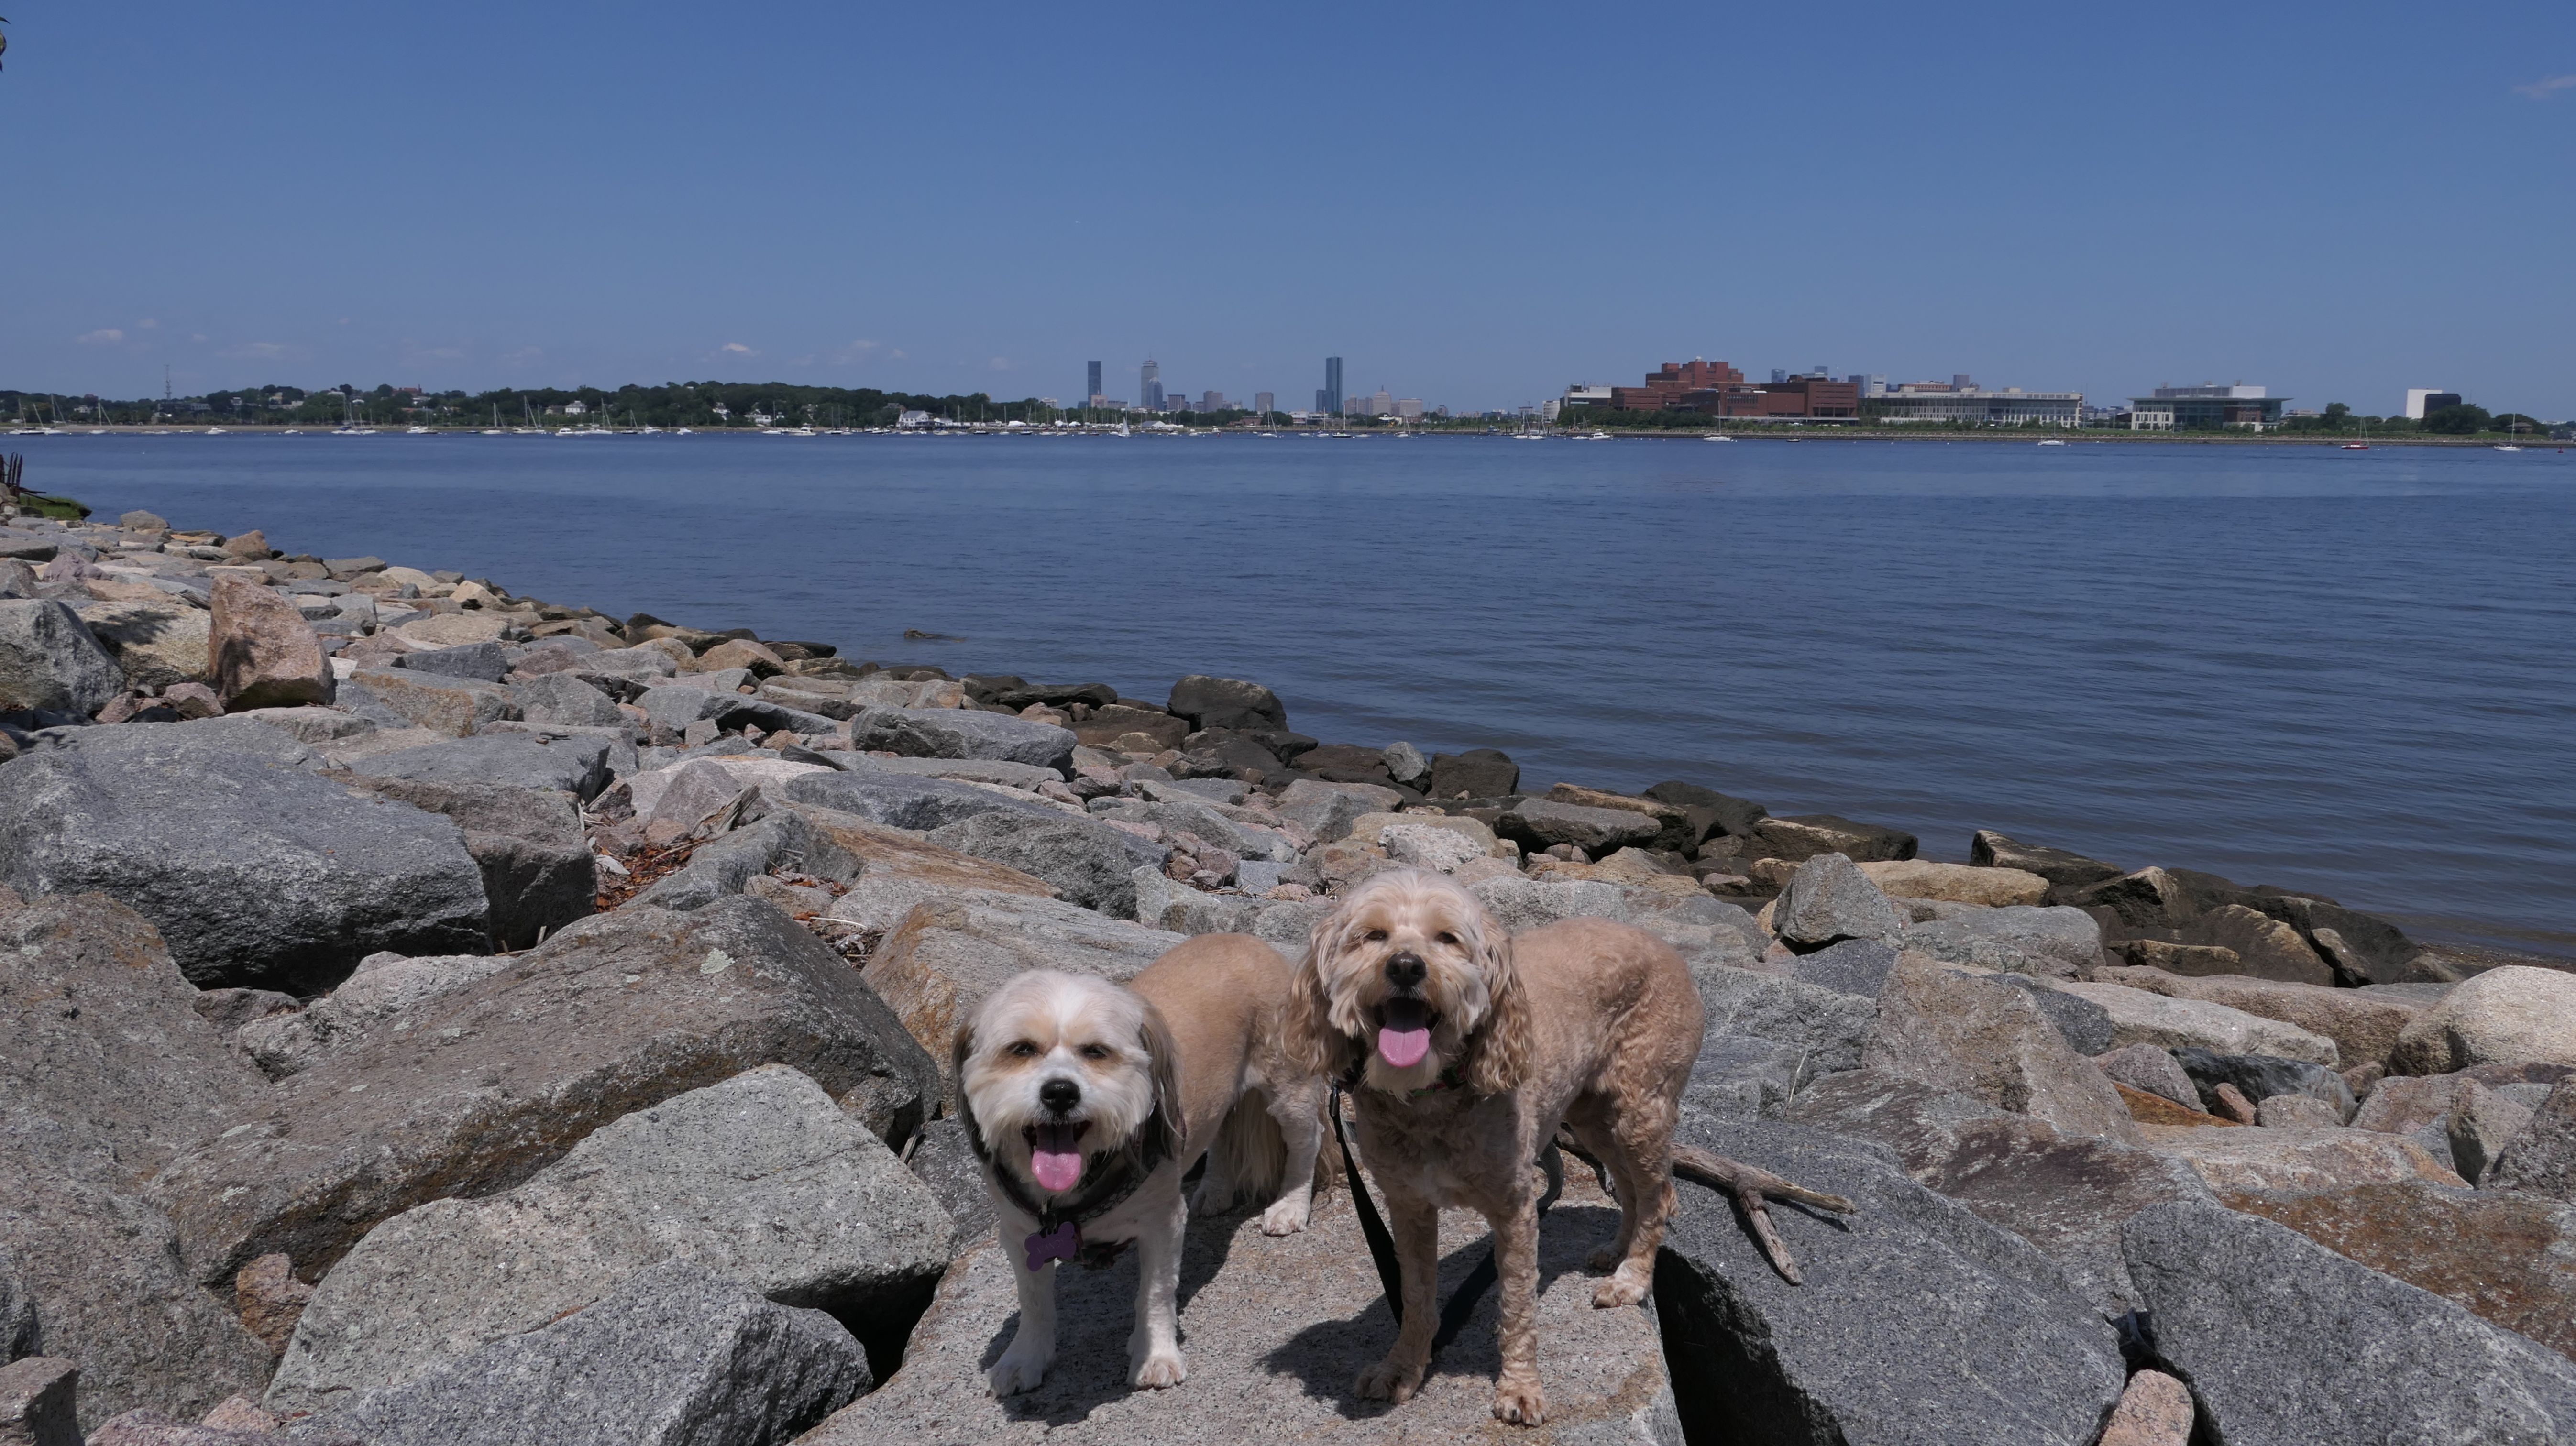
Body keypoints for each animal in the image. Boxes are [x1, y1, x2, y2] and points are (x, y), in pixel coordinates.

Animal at [953, 933, 1327, 1395]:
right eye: (1021, 1050)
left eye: (1097, 1052)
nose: (1060, 1093)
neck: (1074, 1190)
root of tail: (1251, 941)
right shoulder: (1021, 1232)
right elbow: (1034, 1300)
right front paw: (1025, 1357)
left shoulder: (1162, 1222)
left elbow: (1154, 1293)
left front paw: (1155, 1356)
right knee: (1222, 1130)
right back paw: (1216, 1190)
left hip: (1288, 1084)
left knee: (1307, 1139)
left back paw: (1291, 1205)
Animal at [1285, 867, 1704, 1427]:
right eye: (1372, 935)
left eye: (1447, 938)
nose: (1405, 966)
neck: (1431, 1095)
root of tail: (1663, 944)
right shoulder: (1408, 1205)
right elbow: (1415, 1296)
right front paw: (1404, 1369)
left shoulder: (1515, 1209)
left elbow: (1516, 1303)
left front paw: (1521, 1389)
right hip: (1591, 1112)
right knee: (1632, 1188)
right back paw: (1616, 1252)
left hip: (1641, 1106)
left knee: (1659, 1194)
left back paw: (1632, 1279)